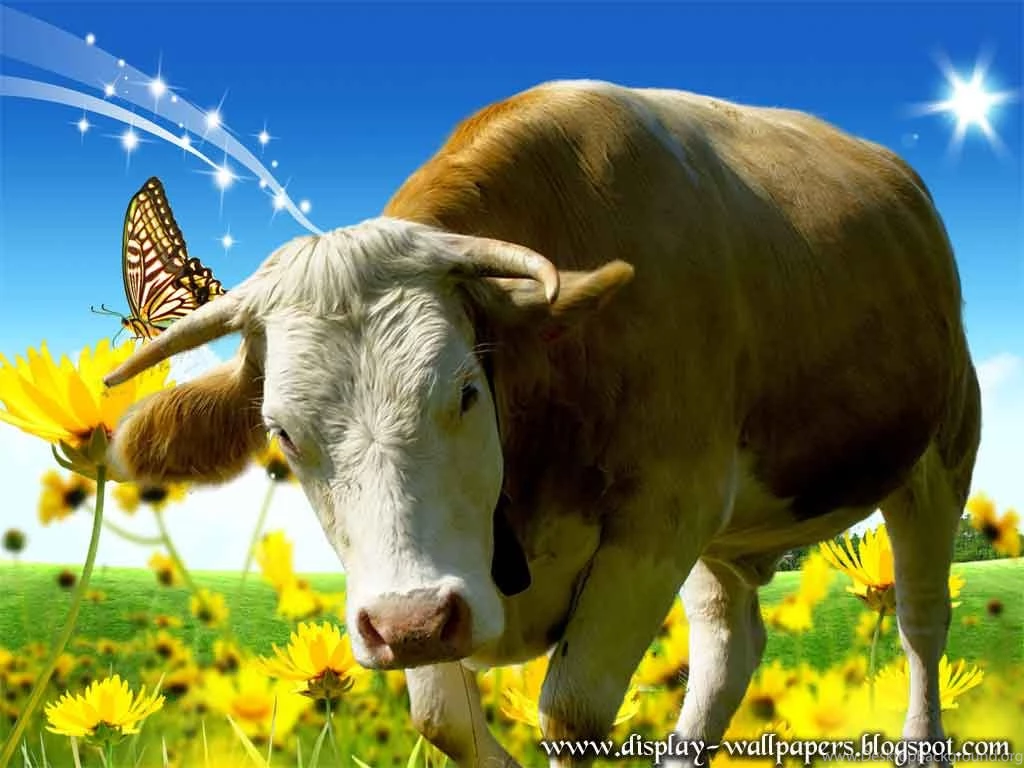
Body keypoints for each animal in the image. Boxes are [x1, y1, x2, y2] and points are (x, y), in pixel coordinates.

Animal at [102, 79, 981, 767]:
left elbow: (572, 713)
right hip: (727, 534)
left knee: (921, 623)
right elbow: (443, 720)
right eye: (284, 434)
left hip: (939, 458)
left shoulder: (660, 518)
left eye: (465, 391)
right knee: (730, 646)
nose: (410, 622)